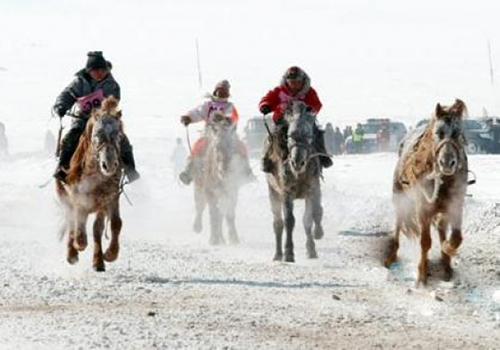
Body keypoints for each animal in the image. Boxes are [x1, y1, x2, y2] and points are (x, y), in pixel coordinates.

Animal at [56, 96, 125, 274]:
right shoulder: (78, 199)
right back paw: (72, 254)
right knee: (72, 221)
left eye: (118, 134)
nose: (109, 165)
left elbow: (115, 223)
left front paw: (109, 254)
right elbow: (79, 227)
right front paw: (78, 245)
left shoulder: (110, 198)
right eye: (98, 134)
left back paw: (98, 262)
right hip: (65, 196)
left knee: (96, 229)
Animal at [192, 113, 245, 245]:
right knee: (200, 205)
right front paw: (213, 239)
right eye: (216, 146)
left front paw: (233, 238)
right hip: (199, 185)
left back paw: (222, 237)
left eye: (233, 146)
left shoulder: (232, 191)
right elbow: (213, 213)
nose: (224, 170)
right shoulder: (210, 192)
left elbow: (229, 213)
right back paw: (197, 227)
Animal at [266, 100, 324, 262]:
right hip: (273, 193)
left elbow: (310, 218)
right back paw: (278, 254)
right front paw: (289, 253)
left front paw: (313, 246)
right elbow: (289, 221)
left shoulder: (312, 189)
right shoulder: (287, 192)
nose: (297, 162)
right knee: (278, 223)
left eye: (308, 135)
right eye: (290, 135)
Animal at [386, 98, 468, 284]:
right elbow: (425, 242)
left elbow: (456, 237)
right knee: (398, 225)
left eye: (458, 133)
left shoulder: (455, 206)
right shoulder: (422, 208)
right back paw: (391, 256)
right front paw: (422, 274)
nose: (447, 162)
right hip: (399, 198)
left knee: (441, 228)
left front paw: (447, 252)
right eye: (438, 132)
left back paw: (446, 265)